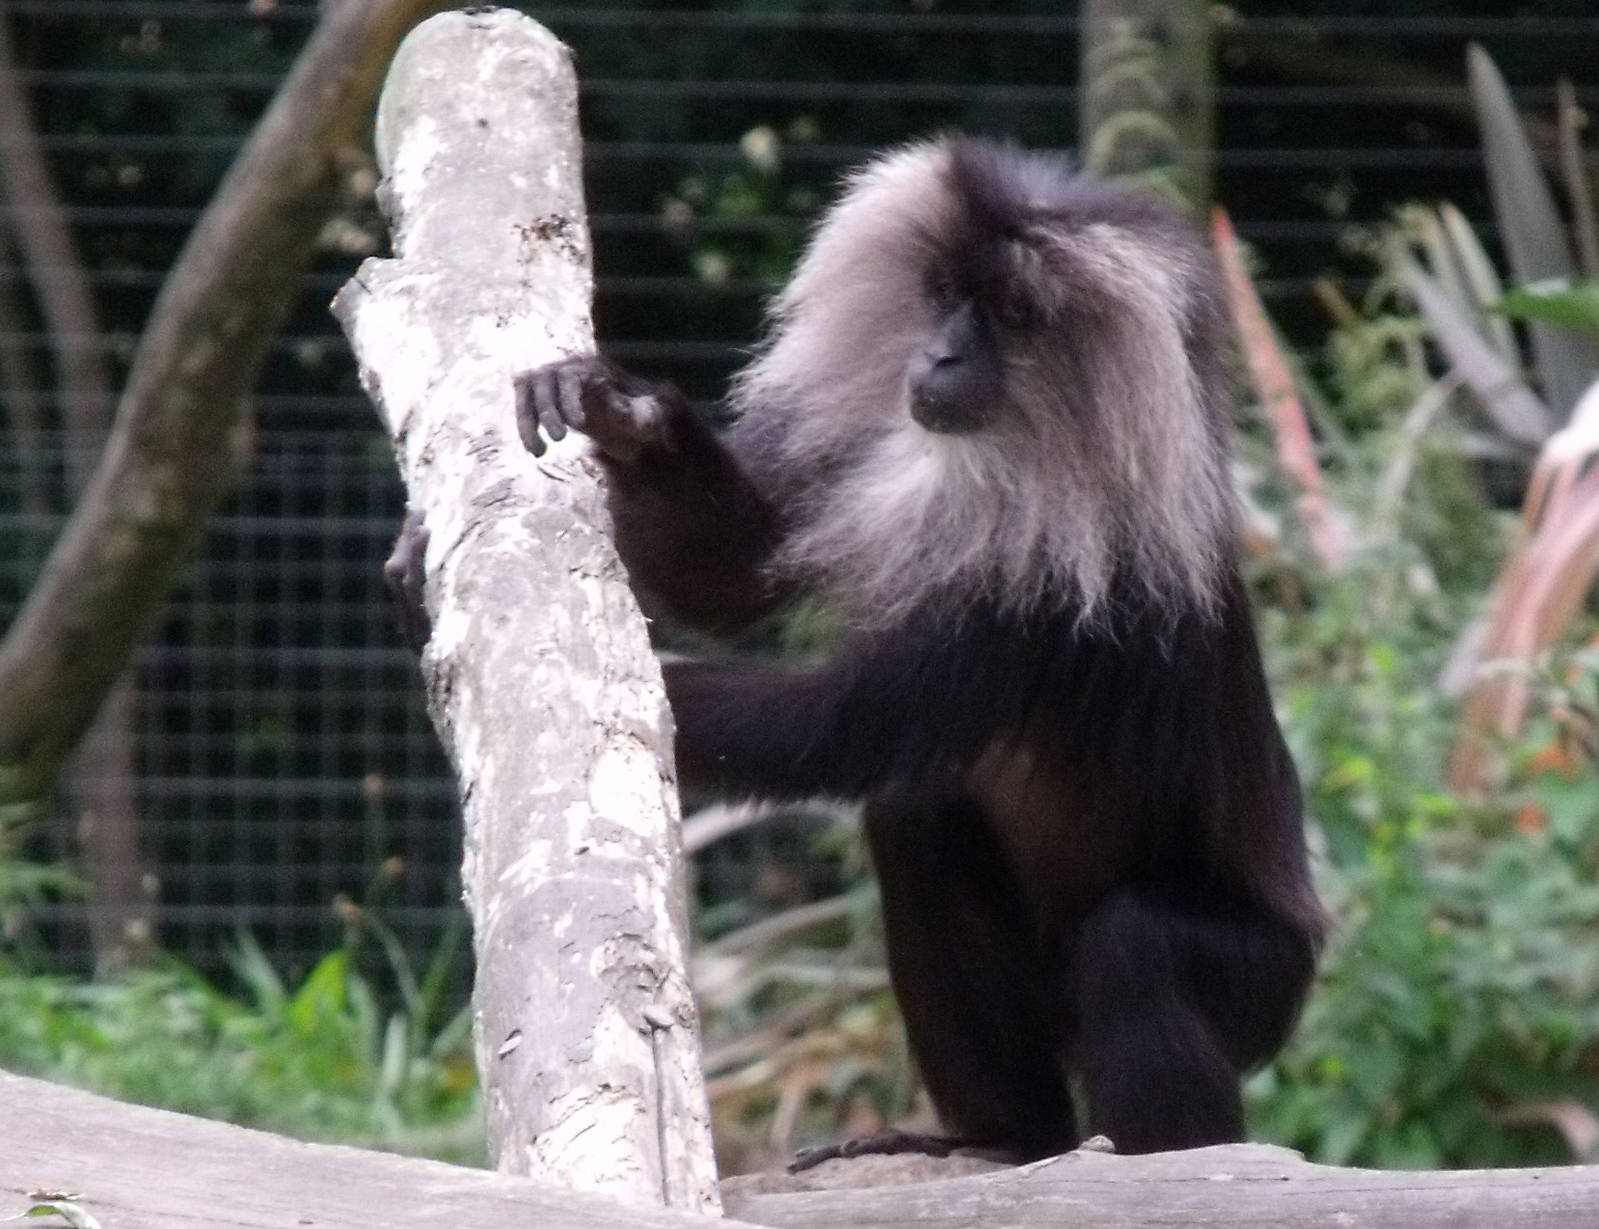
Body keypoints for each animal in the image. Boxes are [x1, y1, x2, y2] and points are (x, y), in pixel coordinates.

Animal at [396, 136, 1322, 1164]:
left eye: (1008, 316)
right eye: (943, 294)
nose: (942, 353)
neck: (1019, 454)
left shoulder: (1055, 588)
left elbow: (841, 727)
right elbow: (735, 573)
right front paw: (624, 416)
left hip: (1261, 978)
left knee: (1136, 949)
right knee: (917, 817)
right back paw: (1003, 1138)